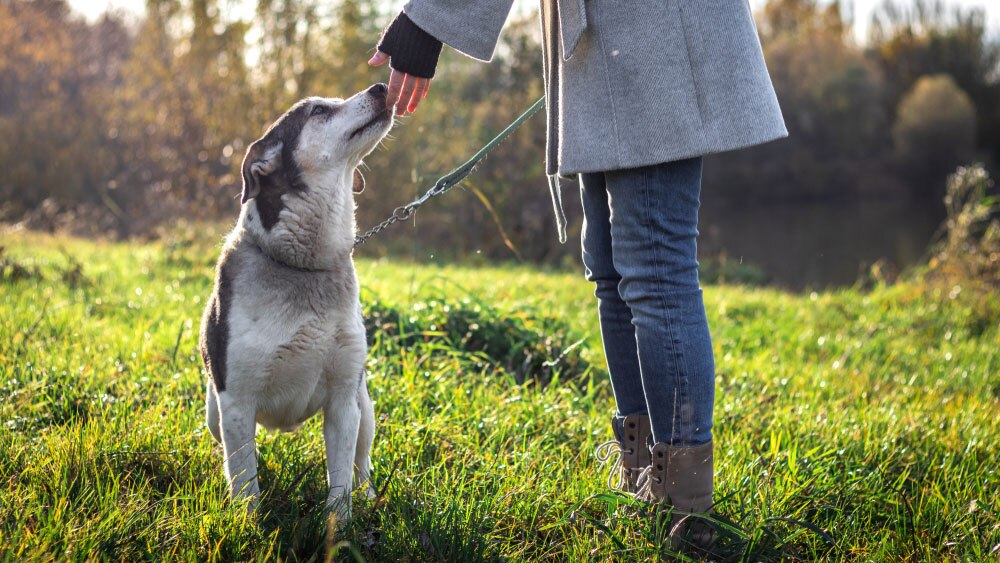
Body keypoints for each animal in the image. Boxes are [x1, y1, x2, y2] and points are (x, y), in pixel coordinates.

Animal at [198, 81, 390, 524]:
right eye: (318, 110)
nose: (382, 85)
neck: (305, 266)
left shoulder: (343, 401)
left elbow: (341, 479)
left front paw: (341, 526)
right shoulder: (235, 401)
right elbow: (244, 479)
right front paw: (247, 526)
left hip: (365, 404)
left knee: (362, 460)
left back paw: (370, 495)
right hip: (214, 413)